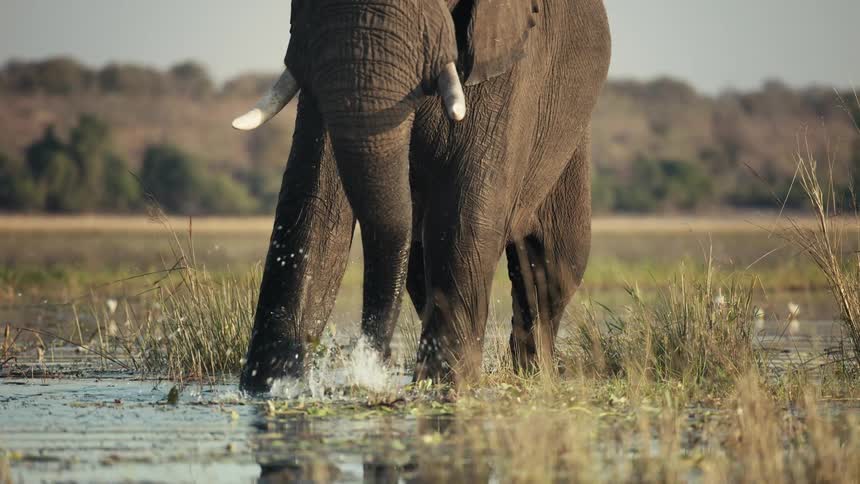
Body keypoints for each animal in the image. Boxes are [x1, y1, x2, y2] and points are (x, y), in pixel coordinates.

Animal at [234, 0, 611, 393]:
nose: (373, 360)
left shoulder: (510, 63)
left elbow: (464, 214)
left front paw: (447, 384)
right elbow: (315, 207)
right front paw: (272, 386)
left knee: (556, 261)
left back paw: (538, 375)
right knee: (421, 266)